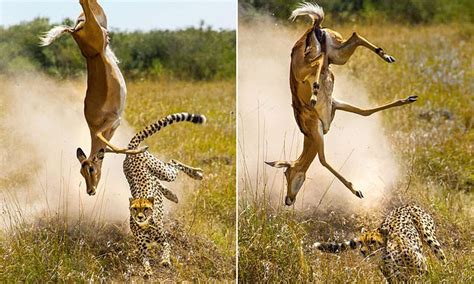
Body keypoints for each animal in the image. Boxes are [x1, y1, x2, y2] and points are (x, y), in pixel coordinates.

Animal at [125, 112, 206, 276]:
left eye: (146, 209)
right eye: (135, 209)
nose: (140, 217)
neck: (145, 225)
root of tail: (131, 149)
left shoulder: (164, 240)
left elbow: (167, 249)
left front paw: (165, 261)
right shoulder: (142, 250)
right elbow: (145, 261)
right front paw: (148, 272)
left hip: (164, 172)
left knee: (174, 162)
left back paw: (196, 174)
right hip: (149, 175)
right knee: (159, 182)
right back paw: (172, 195)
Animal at [312, 204, 446, 282]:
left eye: (372, 242)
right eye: (361, 242)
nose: (362, 251)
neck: (389, 257)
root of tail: (409, 204)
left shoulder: (421, 268)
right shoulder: (393, 275)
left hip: (429, 237)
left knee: (442, 258)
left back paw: (447, 271)